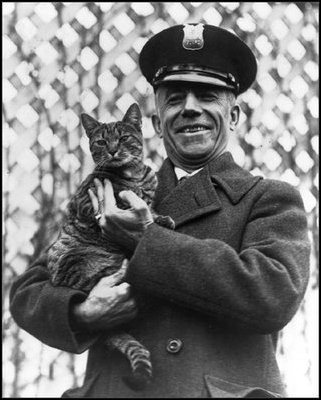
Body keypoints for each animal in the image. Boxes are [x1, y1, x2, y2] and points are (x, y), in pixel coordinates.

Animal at [46, 103, 174, 390]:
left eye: (124, 138)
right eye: (102, 142)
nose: (114, 150)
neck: (134, 175)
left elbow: (149, 205)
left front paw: (158, 216)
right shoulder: (87, 203)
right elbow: (135, 201)